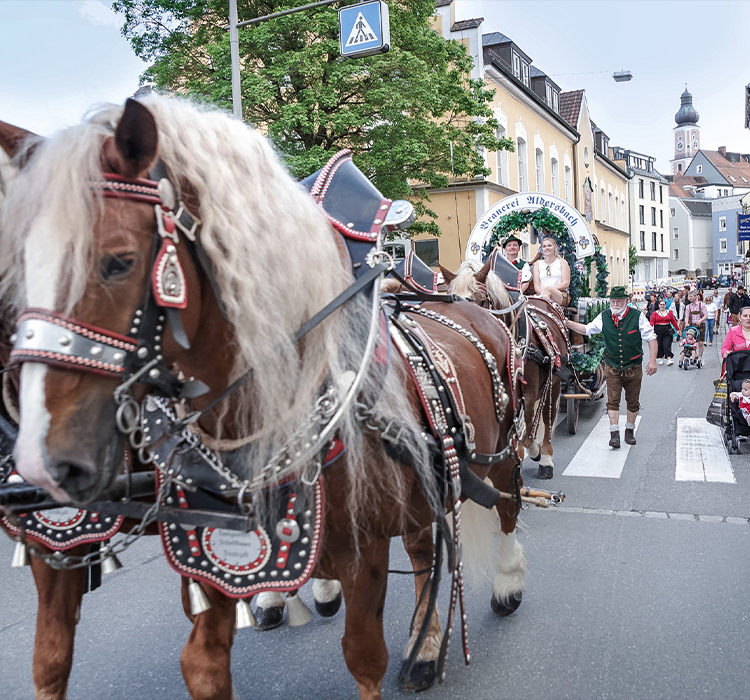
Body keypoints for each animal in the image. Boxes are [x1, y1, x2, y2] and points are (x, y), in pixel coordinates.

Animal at [0, 98, 528, 700]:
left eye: (119, 260)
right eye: (15, 271)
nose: (40, 462)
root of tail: (475, 308)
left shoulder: (364, 550)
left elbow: (364, 656)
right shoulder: (186, 552)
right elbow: (154, 662)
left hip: (500, 449)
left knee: (505, 505)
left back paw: (504, 584)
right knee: (422, 549)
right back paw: (419, 641)